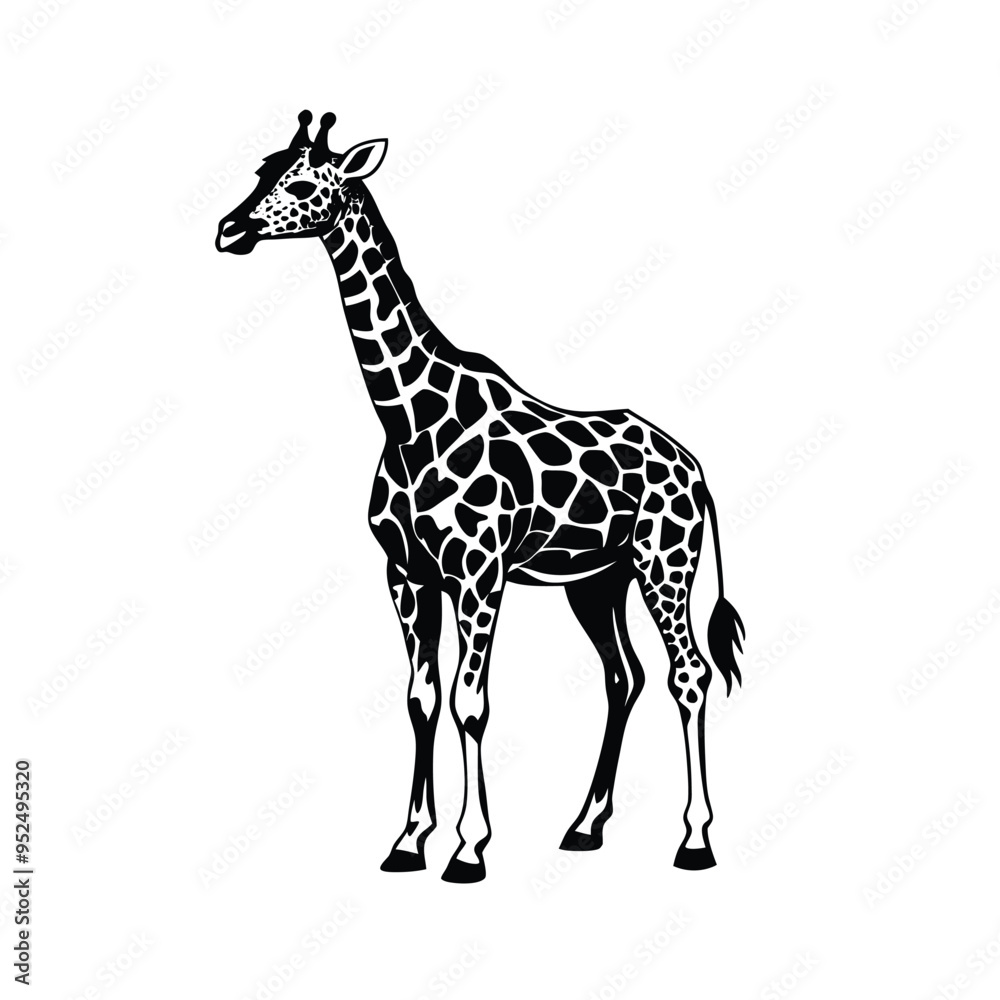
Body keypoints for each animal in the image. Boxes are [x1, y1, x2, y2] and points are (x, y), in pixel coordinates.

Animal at [217, 111, 745, 883]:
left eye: (308, 183)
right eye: (263, 170)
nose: (229, 229)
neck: (407, 418)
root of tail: (698, 470)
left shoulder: (477, 571)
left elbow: (471, 703)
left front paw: (469, 849)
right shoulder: (408, 573)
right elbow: (421, 699)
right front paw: (408, 842)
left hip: (663, 563)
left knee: (689, 675)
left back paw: (695, 840)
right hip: (597, 580)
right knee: (624, 676)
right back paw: (584, 826)